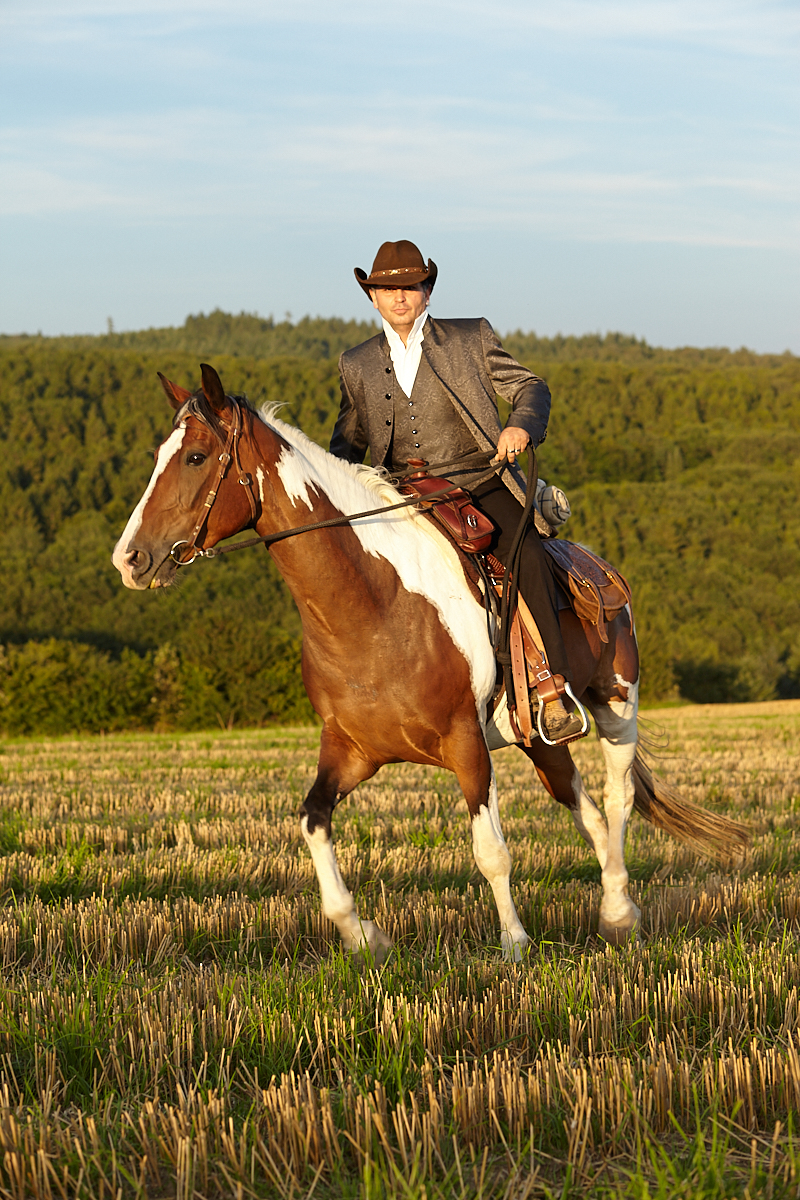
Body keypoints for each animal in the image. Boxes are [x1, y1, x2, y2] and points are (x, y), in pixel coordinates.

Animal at [110, 360, 743, 960]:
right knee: (586, 810)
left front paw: (515, 943)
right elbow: (313, 823)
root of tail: (595, 564)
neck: (377, 607)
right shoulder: (351, 751)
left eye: (195, 457)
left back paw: (618, 914)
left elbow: (491, 852)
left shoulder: (466, 745)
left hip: (616, 703)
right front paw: (364, 937)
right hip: (540, 737)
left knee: (618, 800)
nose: (130, 559)